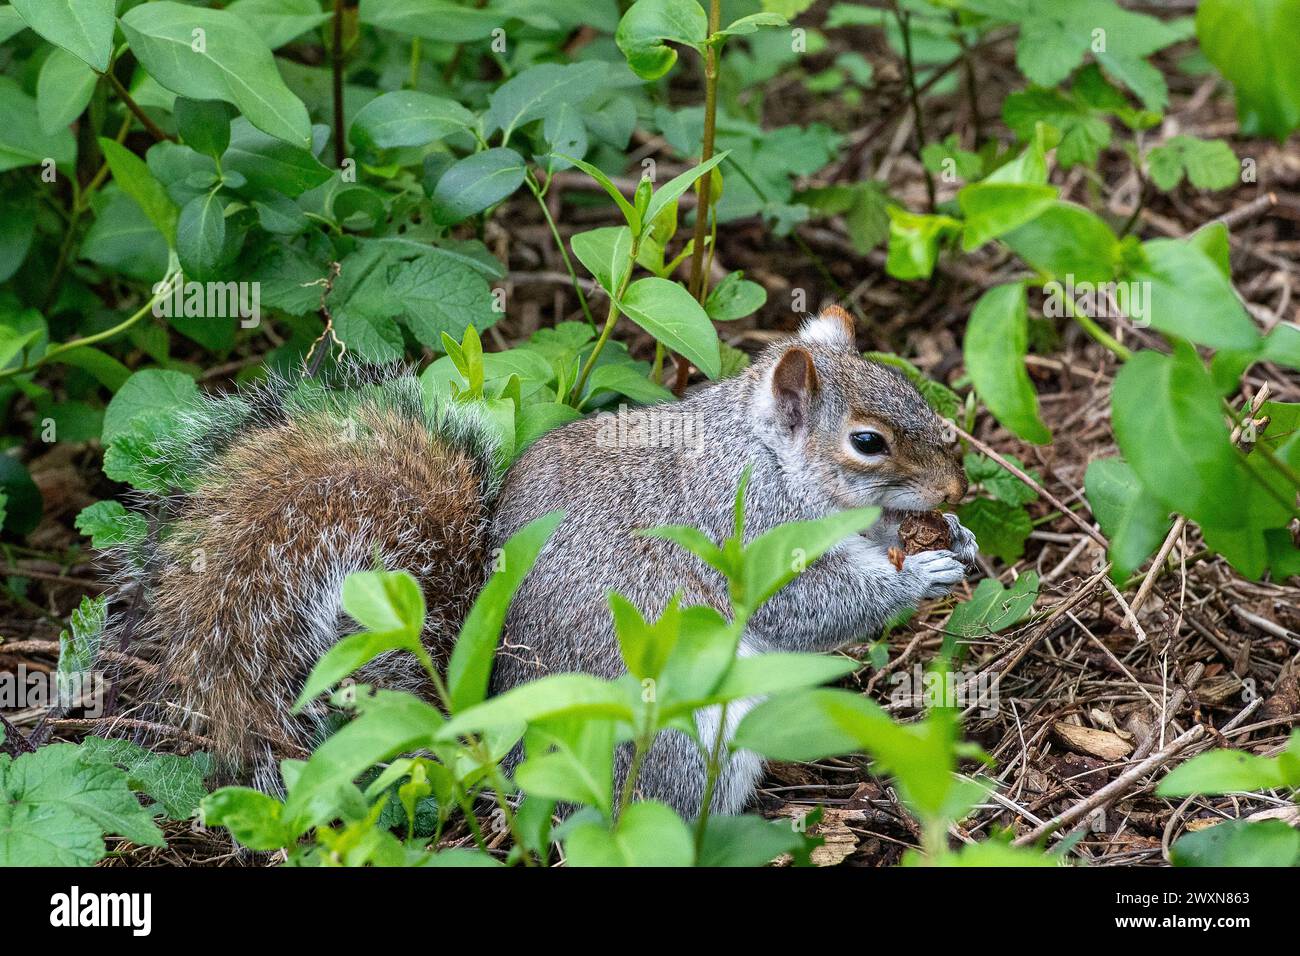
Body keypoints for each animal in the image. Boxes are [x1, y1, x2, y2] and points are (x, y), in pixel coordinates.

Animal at [101, 306, 977, 816]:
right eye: (867, 441)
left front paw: (955, 537)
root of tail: (503, 750)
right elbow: (802, 608)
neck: (762, 449)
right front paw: (917, 576)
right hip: (672, 737)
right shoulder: (744, 527)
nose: (960, 484)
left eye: (909, 388)